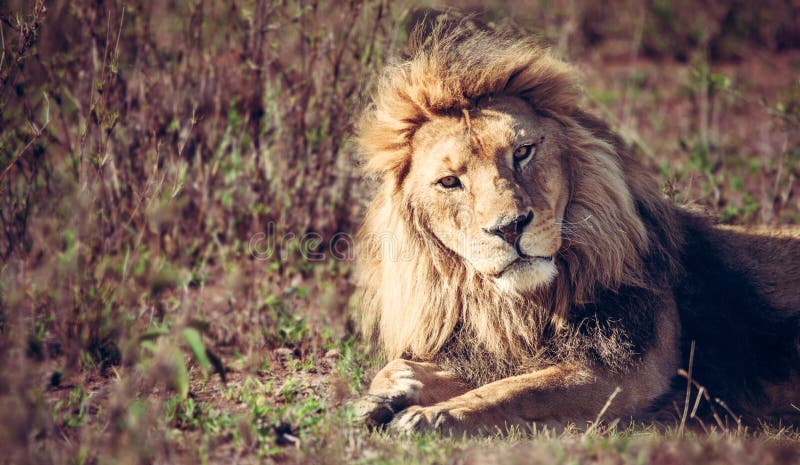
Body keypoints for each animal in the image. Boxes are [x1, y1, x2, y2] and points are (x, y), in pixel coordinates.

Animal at [353, 18, 800, 434]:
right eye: (449, 182)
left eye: (522, 152)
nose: (510, 228)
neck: (518, 308)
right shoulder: (494, 353)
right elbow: (409, 367)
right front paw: (381, 397)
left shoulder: (627, 374)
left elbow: (519, 390)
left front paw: (432, 415)